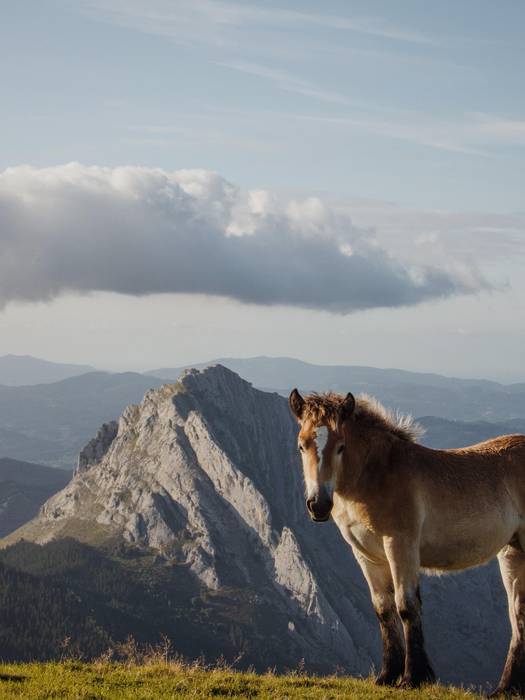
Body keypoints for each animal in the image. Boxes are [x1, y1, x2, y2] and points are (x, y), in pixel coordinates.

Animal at [288, 388, 524, 696]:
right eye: (301, 446)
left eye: (341, 446)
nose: (318, 505)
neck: (377, 475)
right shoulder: (367, 555)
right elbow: (383, 609)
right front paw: (387, 675)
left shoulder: (400, 546)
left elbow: (406, 605)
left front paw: (413, 677)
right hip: (511, 551)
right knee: (517, 613)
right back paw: (506, 689)